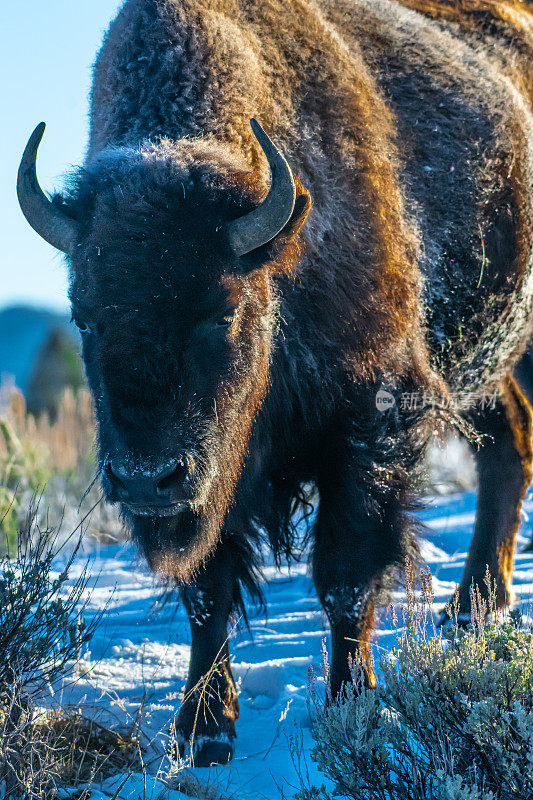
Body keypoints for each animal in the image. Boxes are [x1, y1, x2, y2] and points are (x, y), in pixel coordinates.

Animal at [14, 0, 532, 764]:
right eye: (84, 315)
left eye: (222, 309)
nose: (144, 479)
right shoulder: (214, 485)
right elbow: (208, 592)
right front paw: (204, 732)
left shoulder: (371, 422)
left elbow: (345, 575)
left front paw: (353, 703)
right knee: (510, 442)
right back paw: (472, 610)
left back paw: (471, 610)